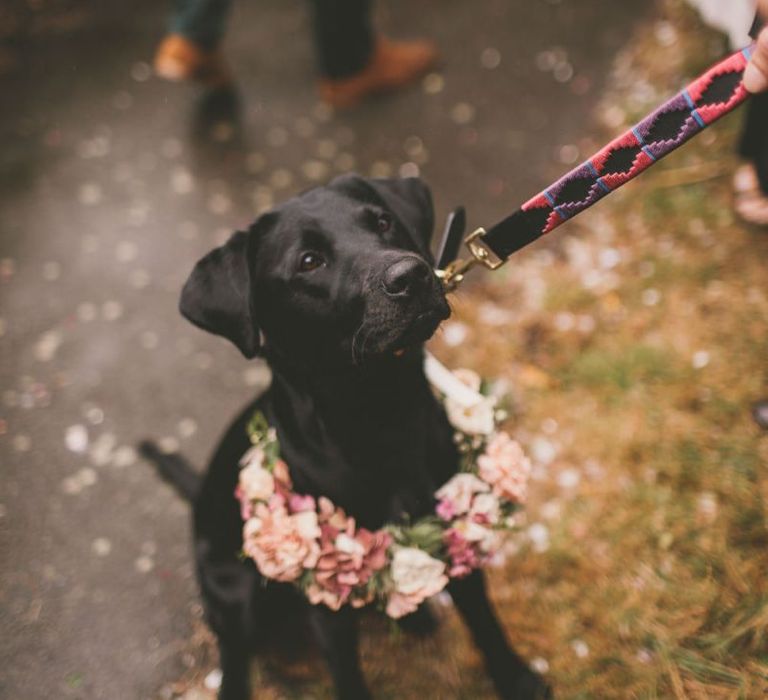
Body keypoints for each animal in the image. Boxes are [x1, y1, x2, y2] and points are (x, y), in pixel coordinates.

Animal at [144, 176, 548, 700]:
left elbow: (484, 620)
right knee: (234, 652)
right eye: (308, 261)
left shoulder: (454, 531)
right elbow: (346, 672)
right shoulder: (325, 590)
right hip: (234, 594)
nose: (412, 275)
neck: (379, 410)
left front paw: (516, 679)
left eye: (383, 221)